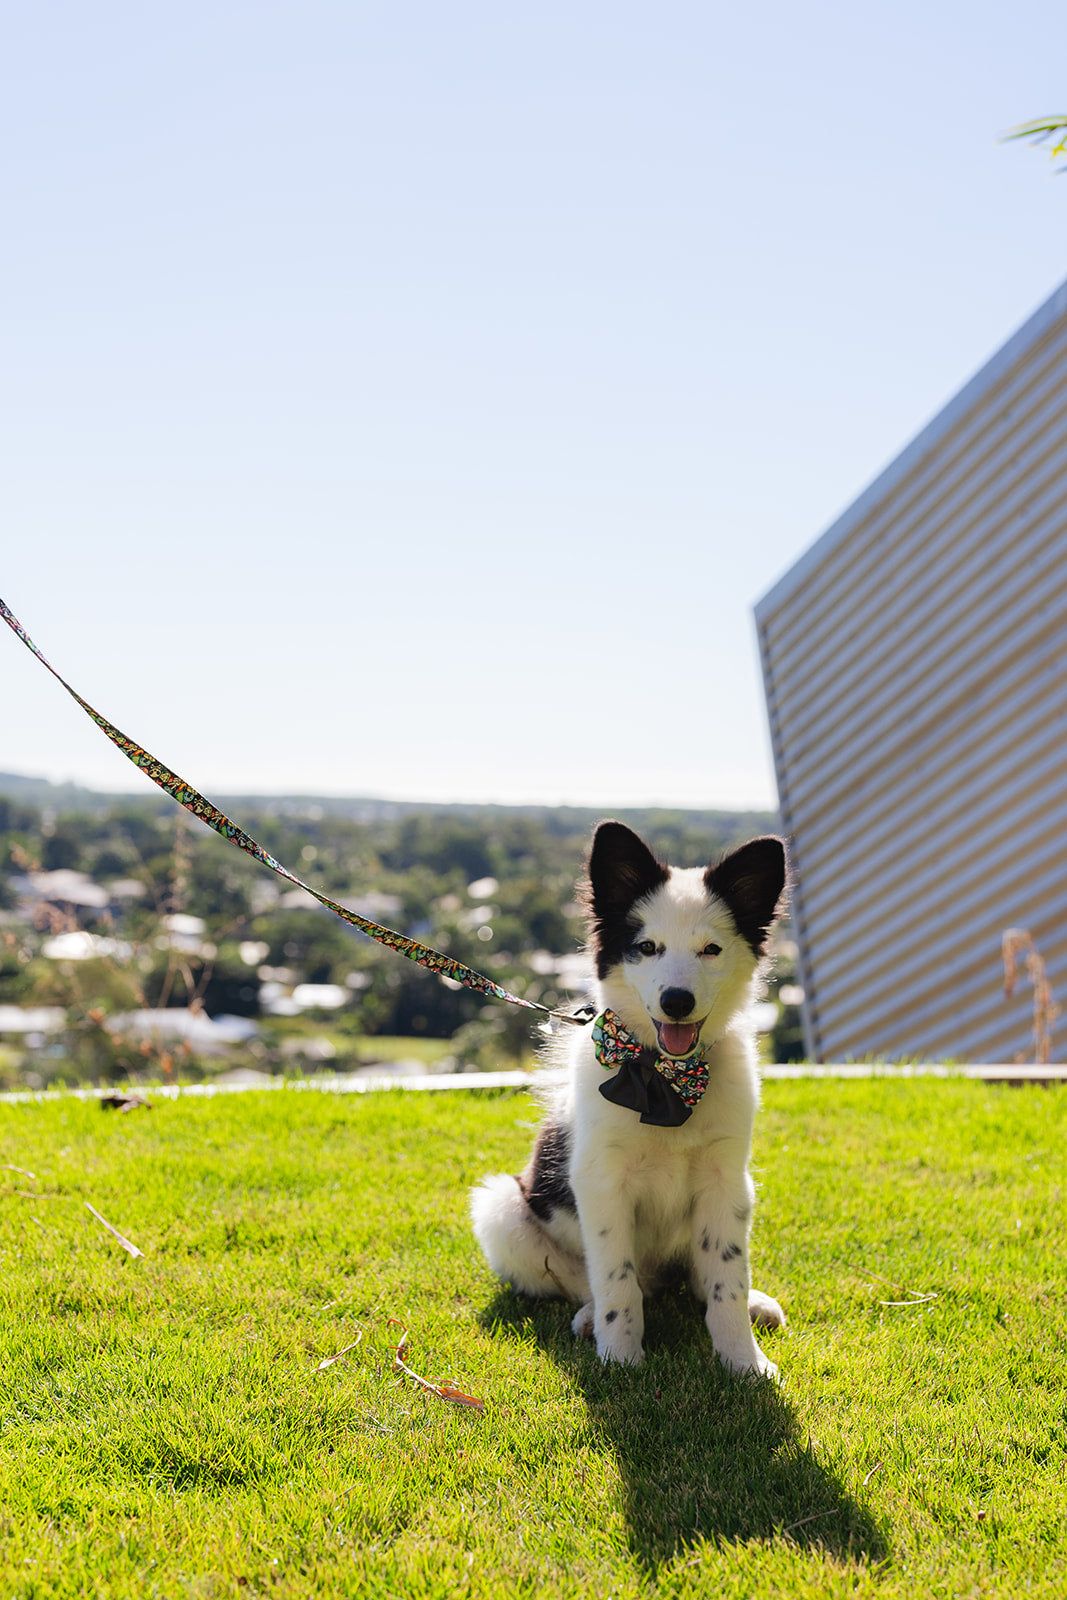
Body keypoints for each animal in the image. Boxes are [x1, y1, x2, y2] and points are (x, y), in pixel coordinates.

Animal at [470, 825, 790, 1376]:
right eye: (646, 947)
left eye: (711, 949)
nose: (677, 1001)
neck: (665, 1077)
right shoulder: (601, 1183)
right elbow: (615, 1278)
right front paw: (620, 1358)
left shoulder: (726, 1179)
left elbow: (727, 1276)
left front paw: (742, 1361)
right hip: (504, 1208)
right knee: (589, 1280)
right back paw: (589, 1319)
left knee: (701, 1276)